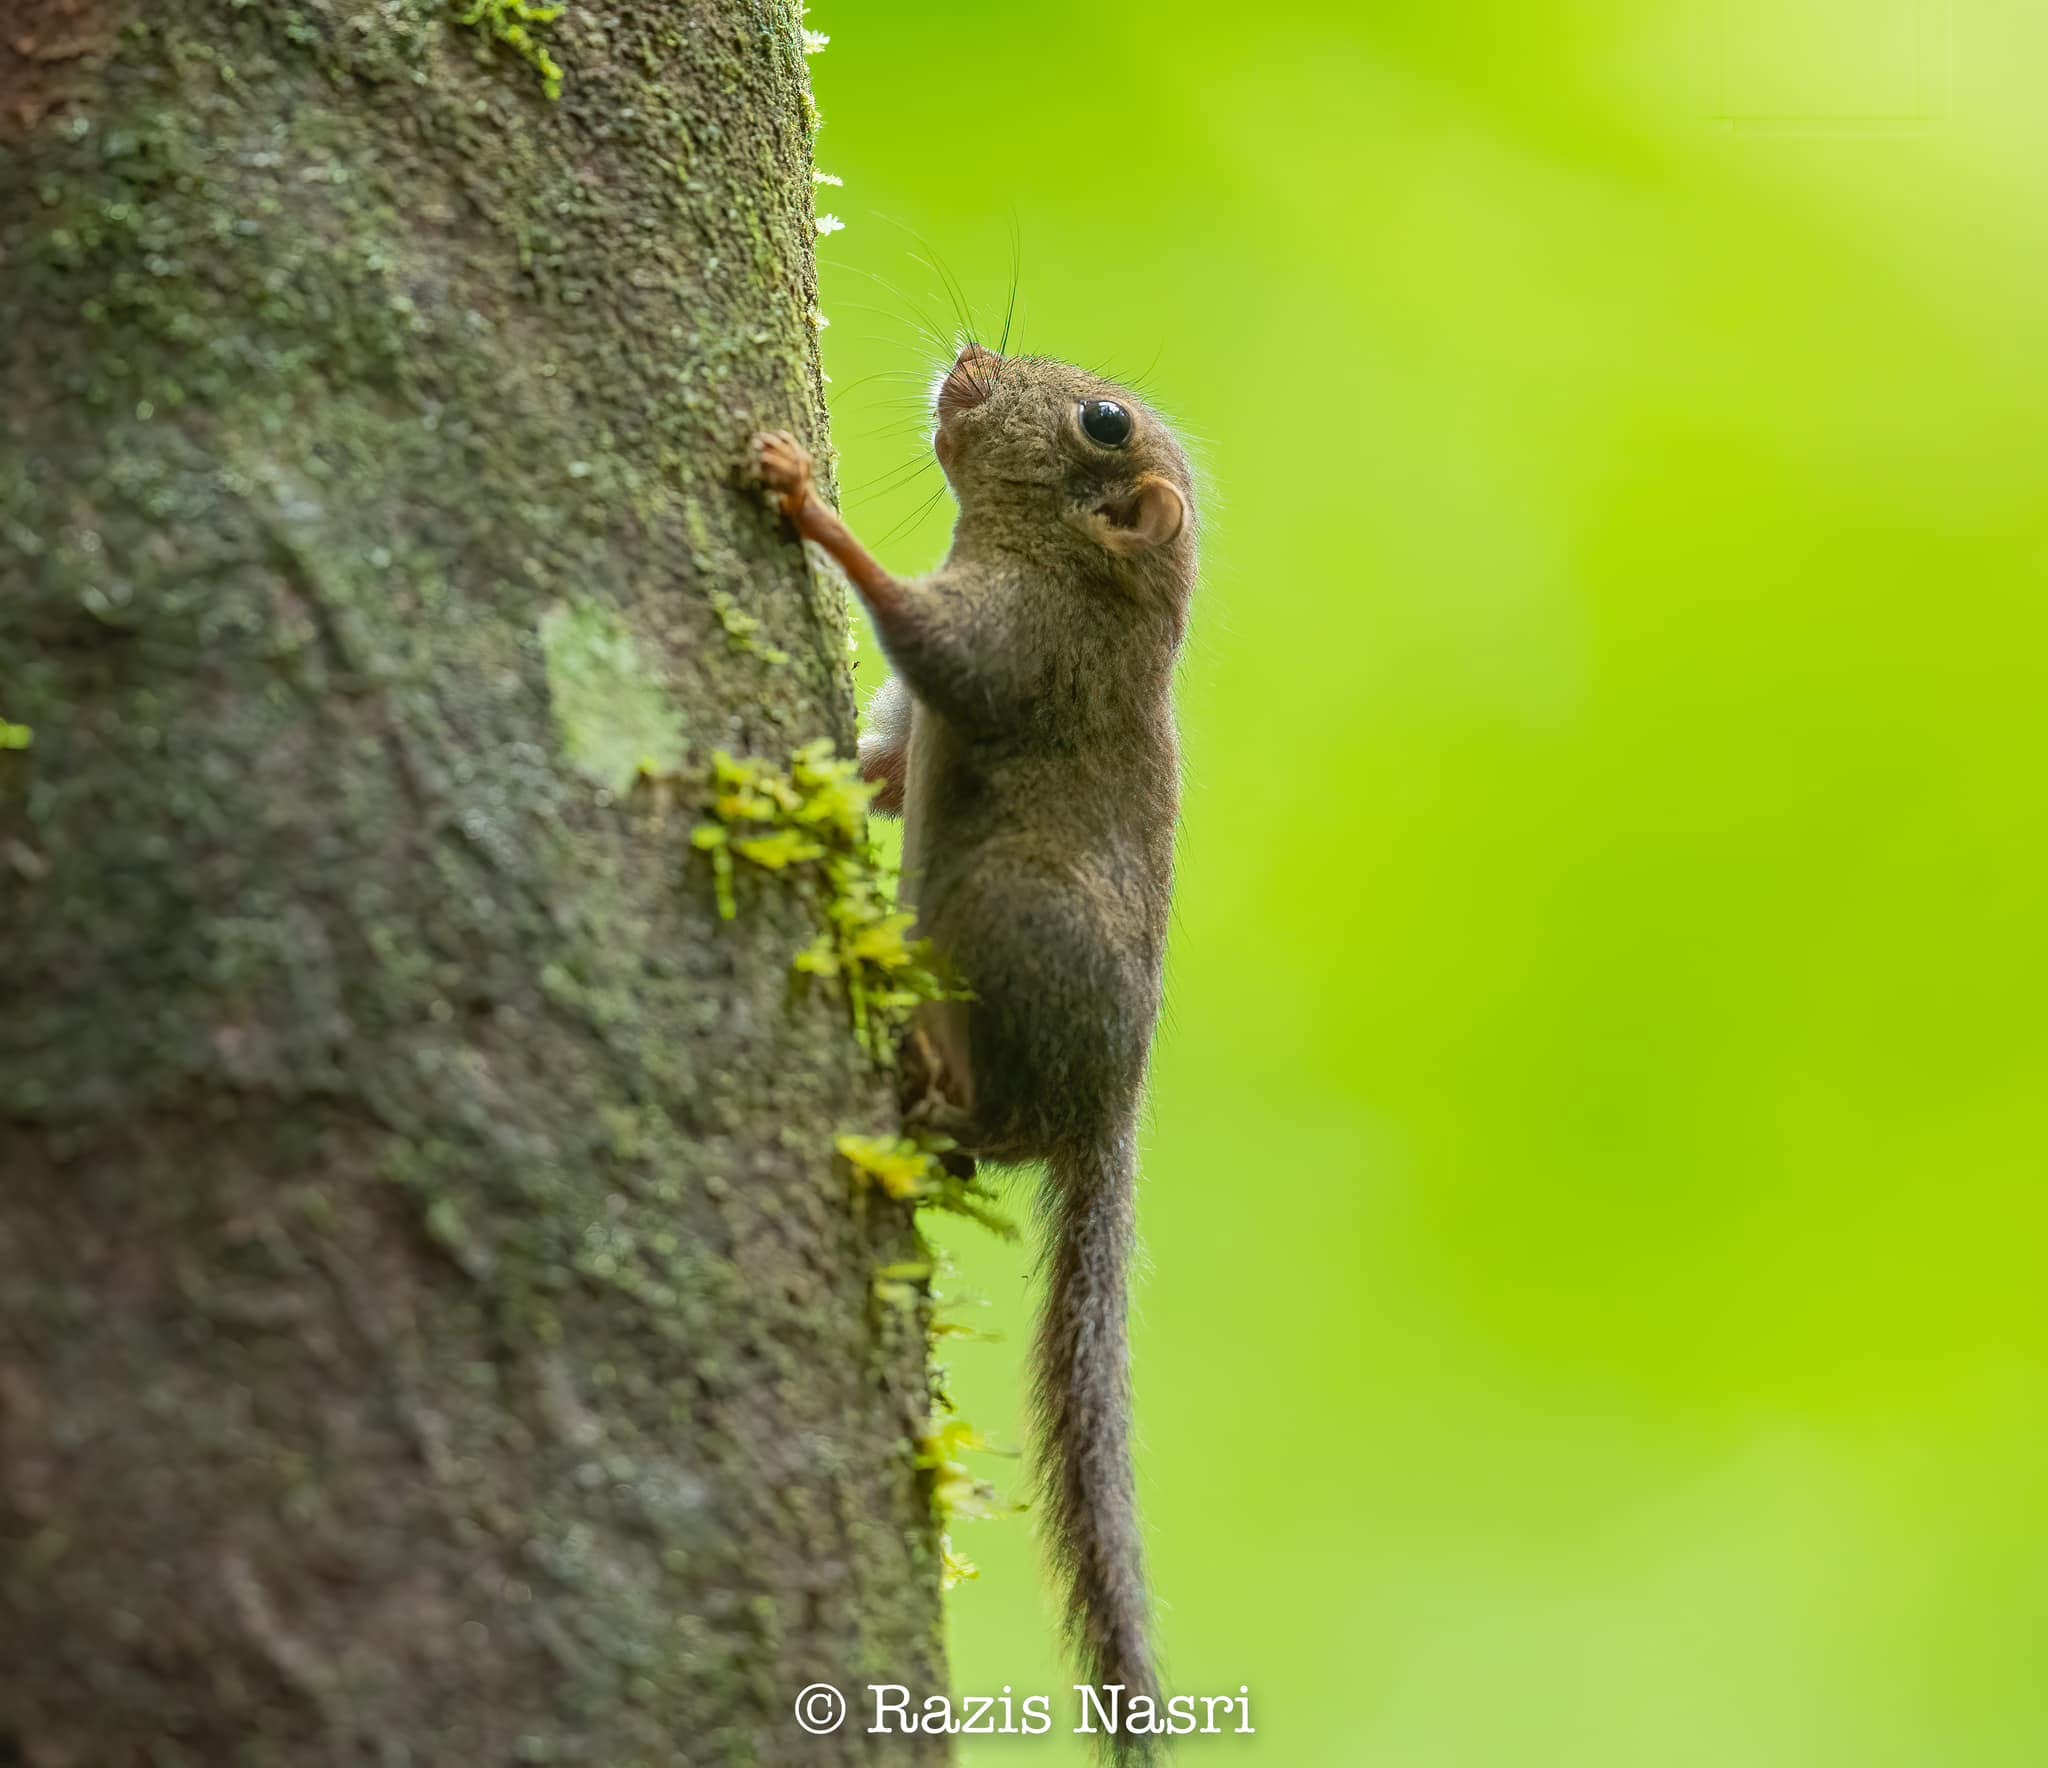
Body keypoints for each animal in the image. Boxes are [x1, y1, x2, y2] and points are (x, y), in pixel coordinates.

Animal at [753, 342, 1197, 1748]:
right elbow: (885, 771)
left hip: (1001, 914)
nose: (967, 359)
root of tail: (1107, 1111)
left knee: (994, 1135)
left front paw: (800, 495)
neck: (1101, 585)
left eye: (1102, 422)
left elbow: (914, 626)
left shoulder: (1015, 647)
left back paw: (932, 1082)